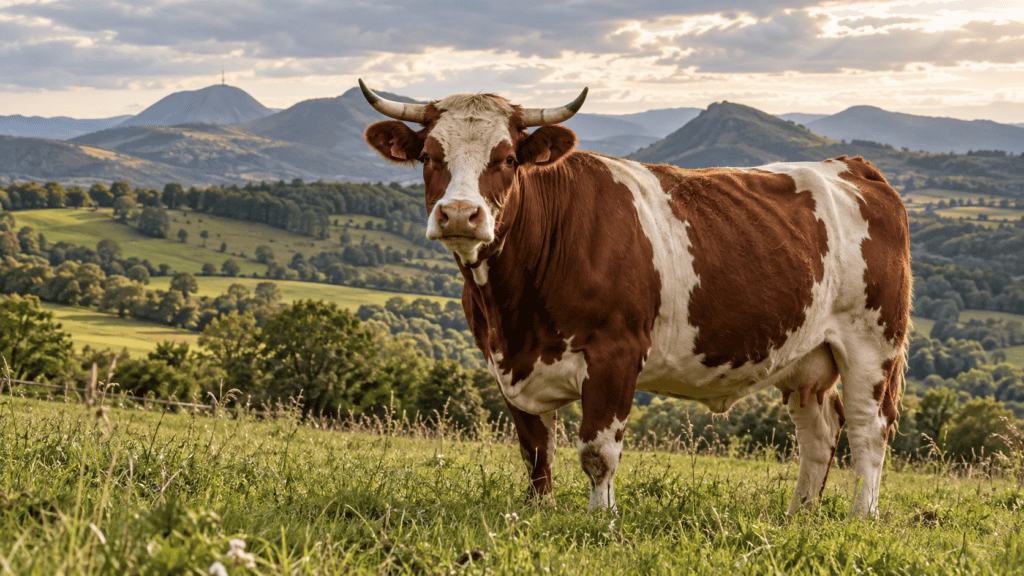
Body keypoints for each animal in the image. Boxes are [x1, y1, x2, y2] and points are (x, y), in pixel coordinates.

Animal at [360, 80, 911, 518]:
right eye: (429, 158)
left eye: (508, 159)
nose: (459, 214)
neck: (513, 312)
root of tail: (850, 165)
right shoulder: (507, 366)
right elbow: (535, 451)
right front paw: (538, 512)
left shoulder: (615, 353)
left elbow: (597, 451)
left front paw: (599, 519)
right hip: (806, 357)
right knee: (819, 432)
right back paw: (799, 515)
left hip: (873, 344)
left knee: (869, 431)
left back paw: (861, 517)